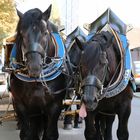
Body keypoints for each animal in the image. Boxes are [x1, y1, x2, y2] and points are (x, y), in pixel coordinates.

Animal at [9, 4, 67, 139]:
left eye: (45, 33)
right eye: (21, 33)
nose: (34, 68)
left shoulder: (55, 105)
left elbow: (50, 134)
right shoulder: (21, 105)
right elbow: (27, 134)